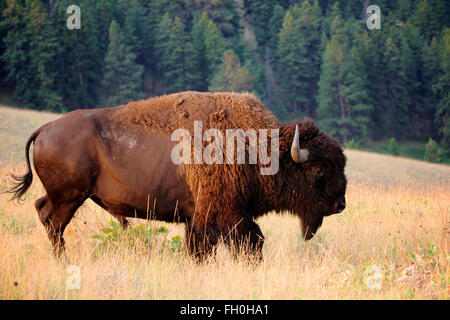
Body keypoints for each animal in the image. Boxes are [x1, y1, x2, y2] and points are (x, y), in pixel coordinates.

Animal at [7, 92, 348, 260]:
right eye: (318, 169)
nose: (340, 204)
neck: (258, 148)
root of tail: (45, 129)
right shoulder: (225, 214)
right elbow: (249, 242)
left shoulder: (198, 218)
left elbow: (202, 248)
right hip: (69, 197)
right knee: (54, 222)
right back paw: (62, 260)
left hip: (66, 196)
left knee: (42, 210)